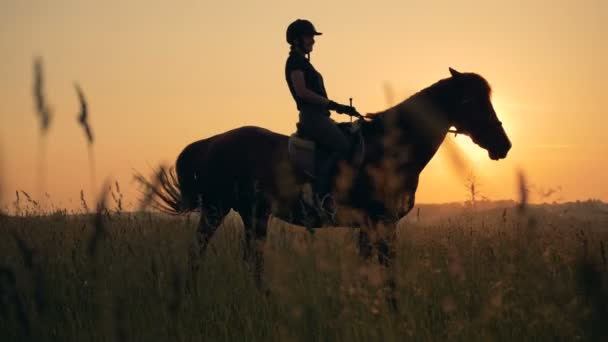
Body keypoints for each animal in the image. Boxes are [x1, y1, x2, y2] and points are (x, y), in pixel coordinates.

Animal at [146, 67, 508, 296]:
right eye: (471, 102)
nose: (503, 145)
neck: (391, 148)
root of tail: (212, 142)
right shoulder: (382, 221)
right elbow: (385, 271)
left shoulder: (374, 225)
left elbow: (372, 268)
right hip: (219, 209)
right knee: (199, 252)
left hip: (252, 214)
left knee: (250, 259)